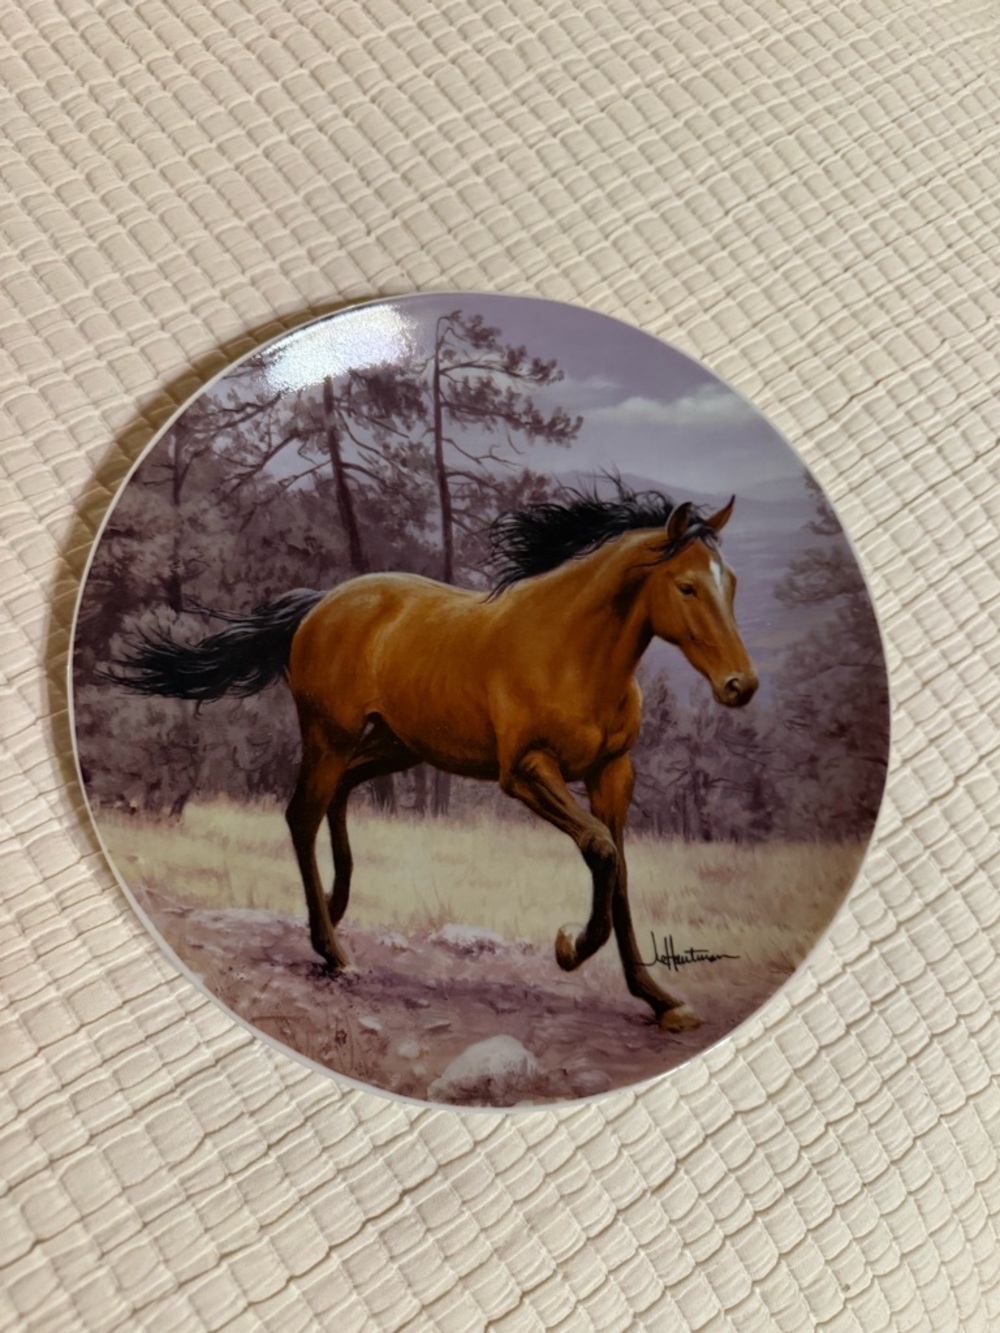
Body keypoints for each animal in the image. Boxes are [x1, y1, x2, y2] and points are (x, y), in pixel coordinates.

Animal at [113, 484, 757, 1030]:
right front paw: (569, 948)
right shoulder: (526, 771)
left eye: (731, 584)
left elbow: (618, 870)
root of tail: (322, 601)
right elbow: (601, 850)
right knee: (302, 813)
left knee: (338, 795)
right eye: (687, 586)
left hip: (395, 745)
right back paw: (333, 950)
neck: (571, 653)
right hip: (330, 734)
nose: (740, 686)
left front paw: (660, 999)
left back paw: (334, 907)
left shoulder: (613, 775)